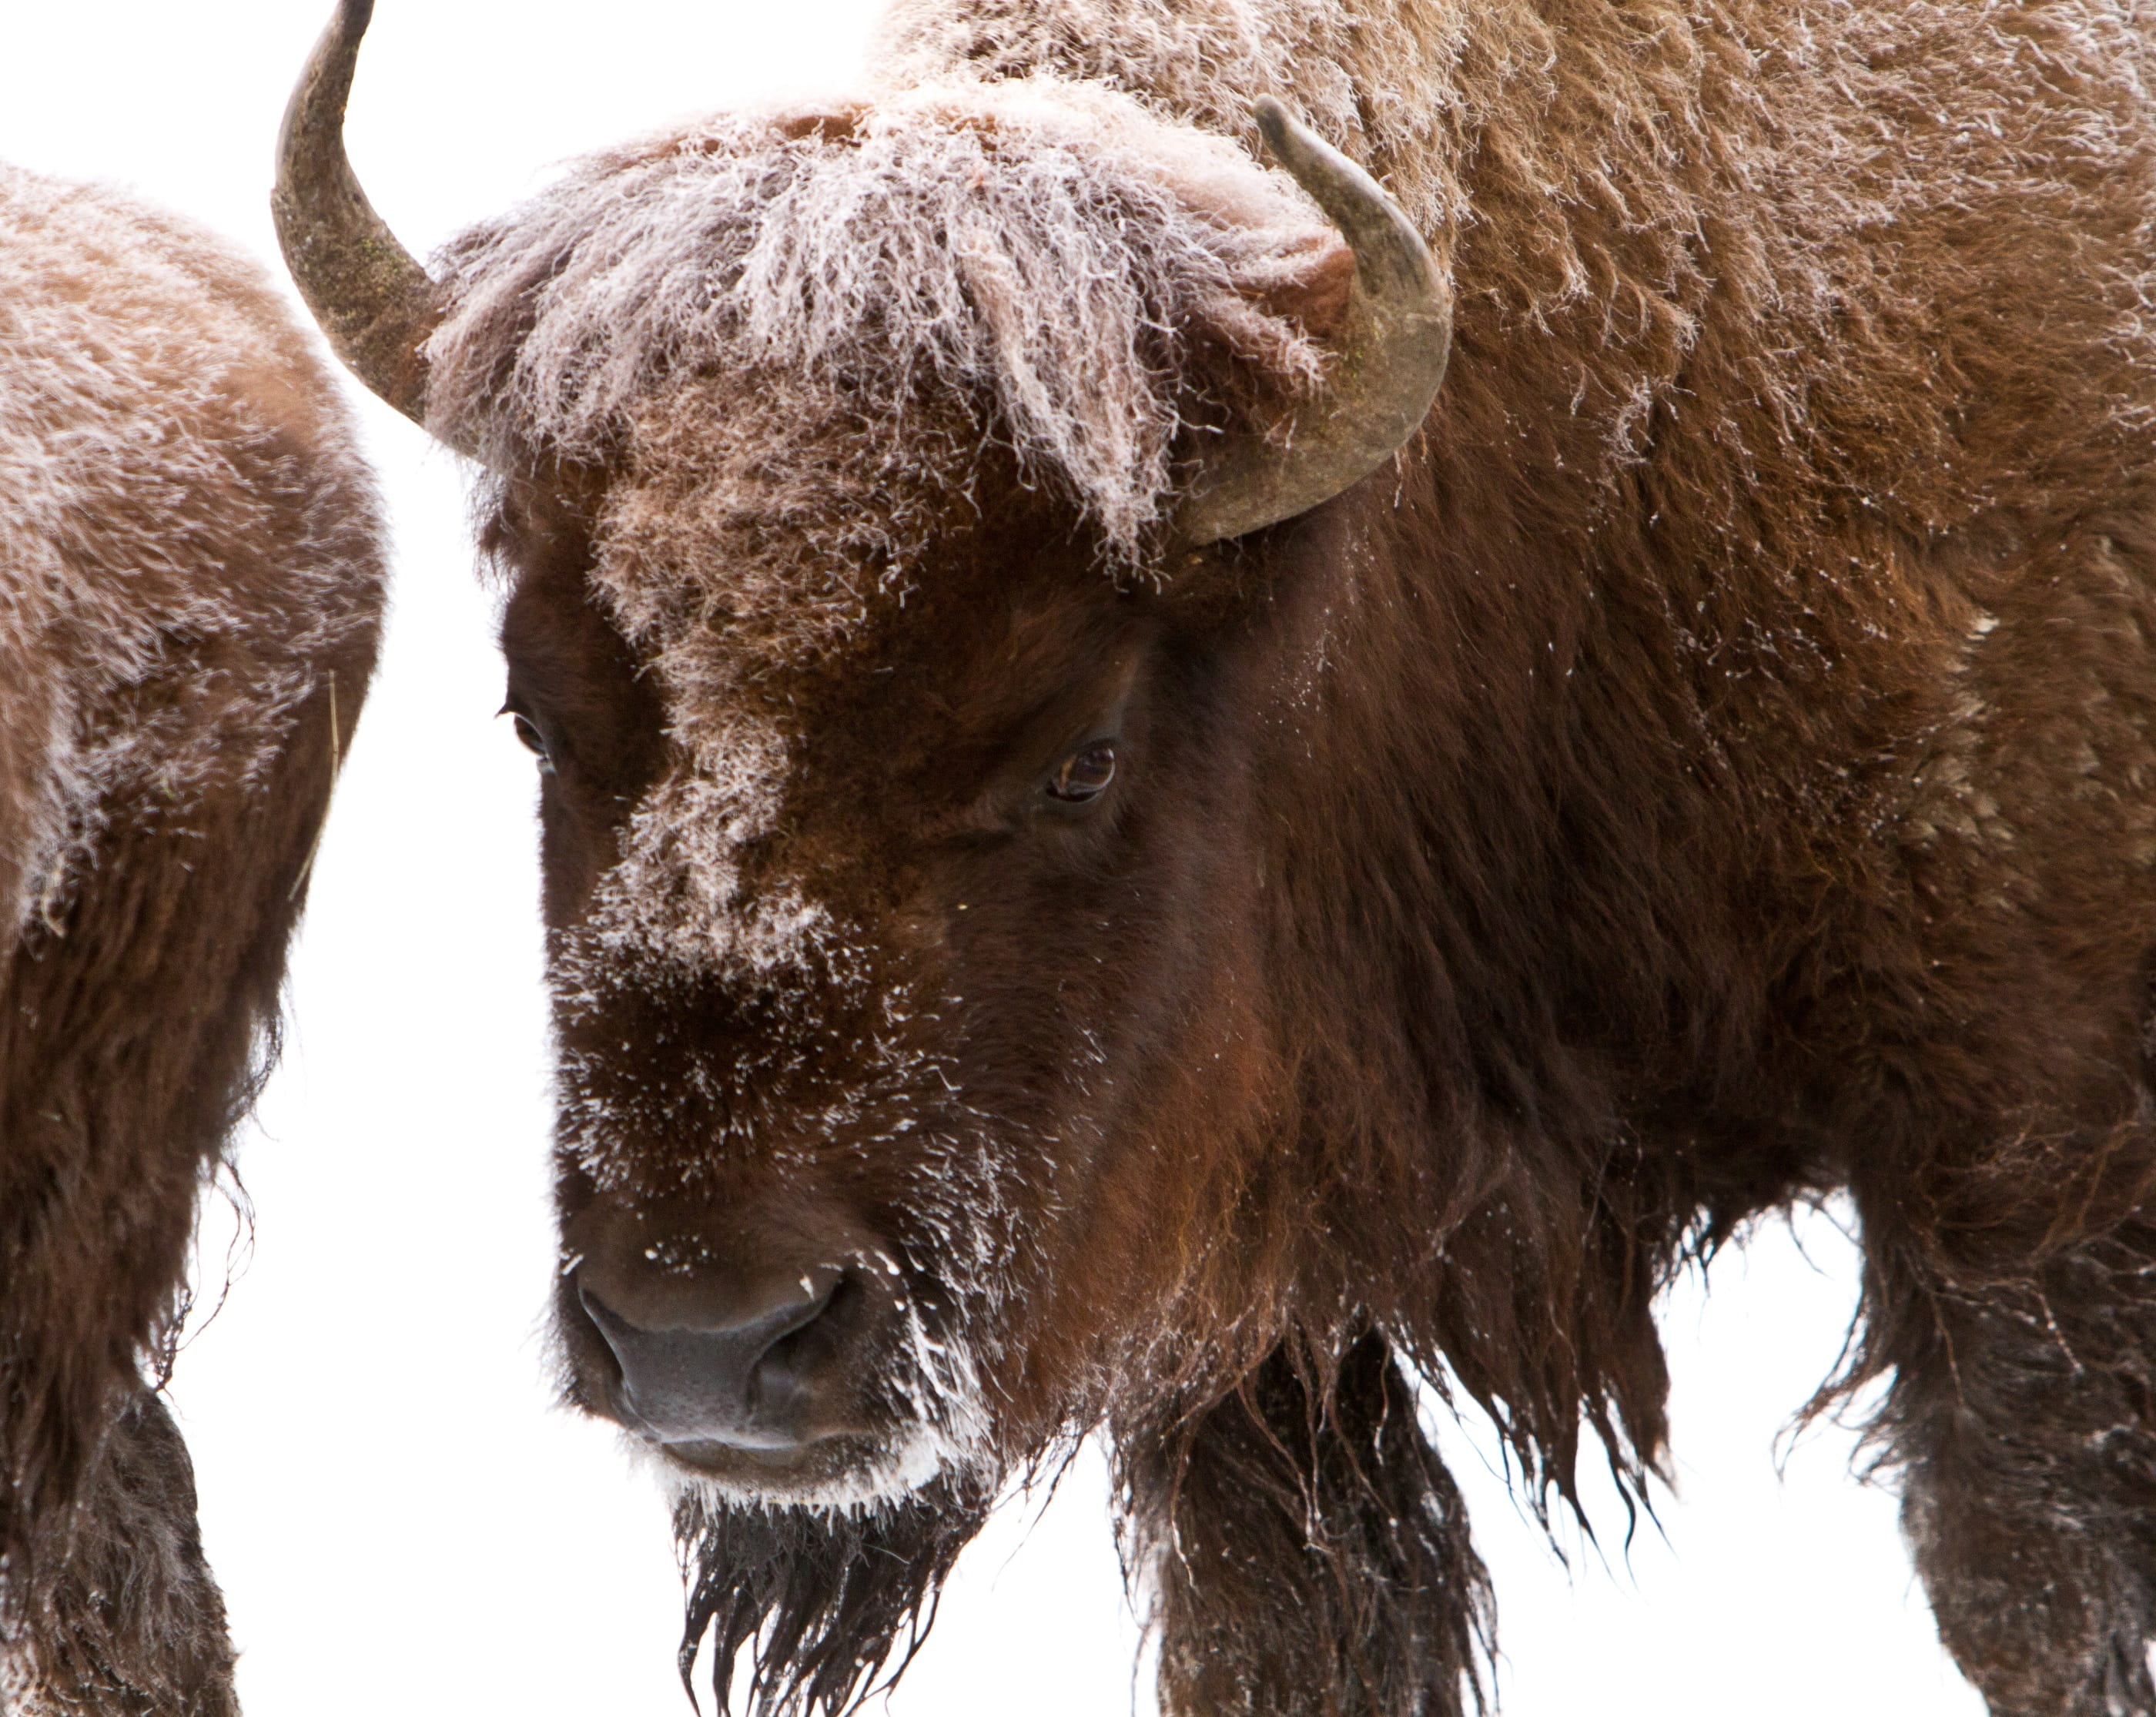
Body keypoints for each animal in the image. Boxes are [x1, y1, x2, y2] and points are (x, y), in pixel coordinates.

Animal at [280, 0, 2156, 1712]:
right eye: (534, 717)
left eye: (1079, 754)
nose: (703, 1344)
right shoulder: (1256, 1317)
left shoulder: (2015, 1173)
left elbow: (2030, 1588)